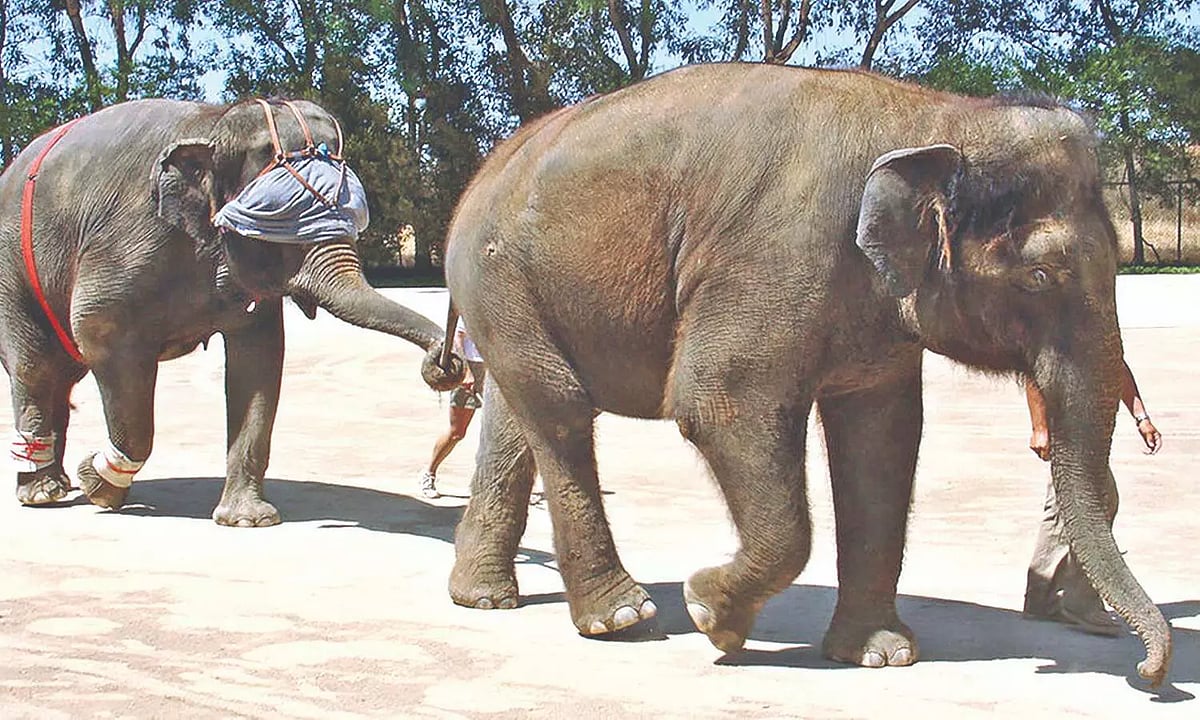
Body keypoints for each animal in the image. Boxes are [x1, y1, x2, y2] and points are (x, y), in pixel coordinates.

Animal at [0, 97, 462, 526]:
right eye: (282, 225)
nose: (445, 362)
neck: (217, 123)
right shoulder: (127, 239)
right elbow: (99, 330)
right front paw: (100, 484)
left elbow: (259, 358)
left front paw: (248, 519)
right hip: (13, 269)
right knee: (36, 367)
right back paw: (42, 493)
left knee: (60, 373)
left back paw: (56, 483)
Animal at [433, 63, 1172, 686]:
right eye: (1040, 276)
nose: (1148, 673)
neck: (935, 117)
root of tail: (482, 175)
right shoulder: (773, 257)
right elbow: (718, 401)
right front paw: (710, 614)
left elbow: (882, 437)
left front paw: (880, 656)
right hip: (495, 271)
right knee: (559, 408)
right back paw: (621, 620)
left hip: (508, 291)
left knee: (518, 414)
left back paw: (484, 598)